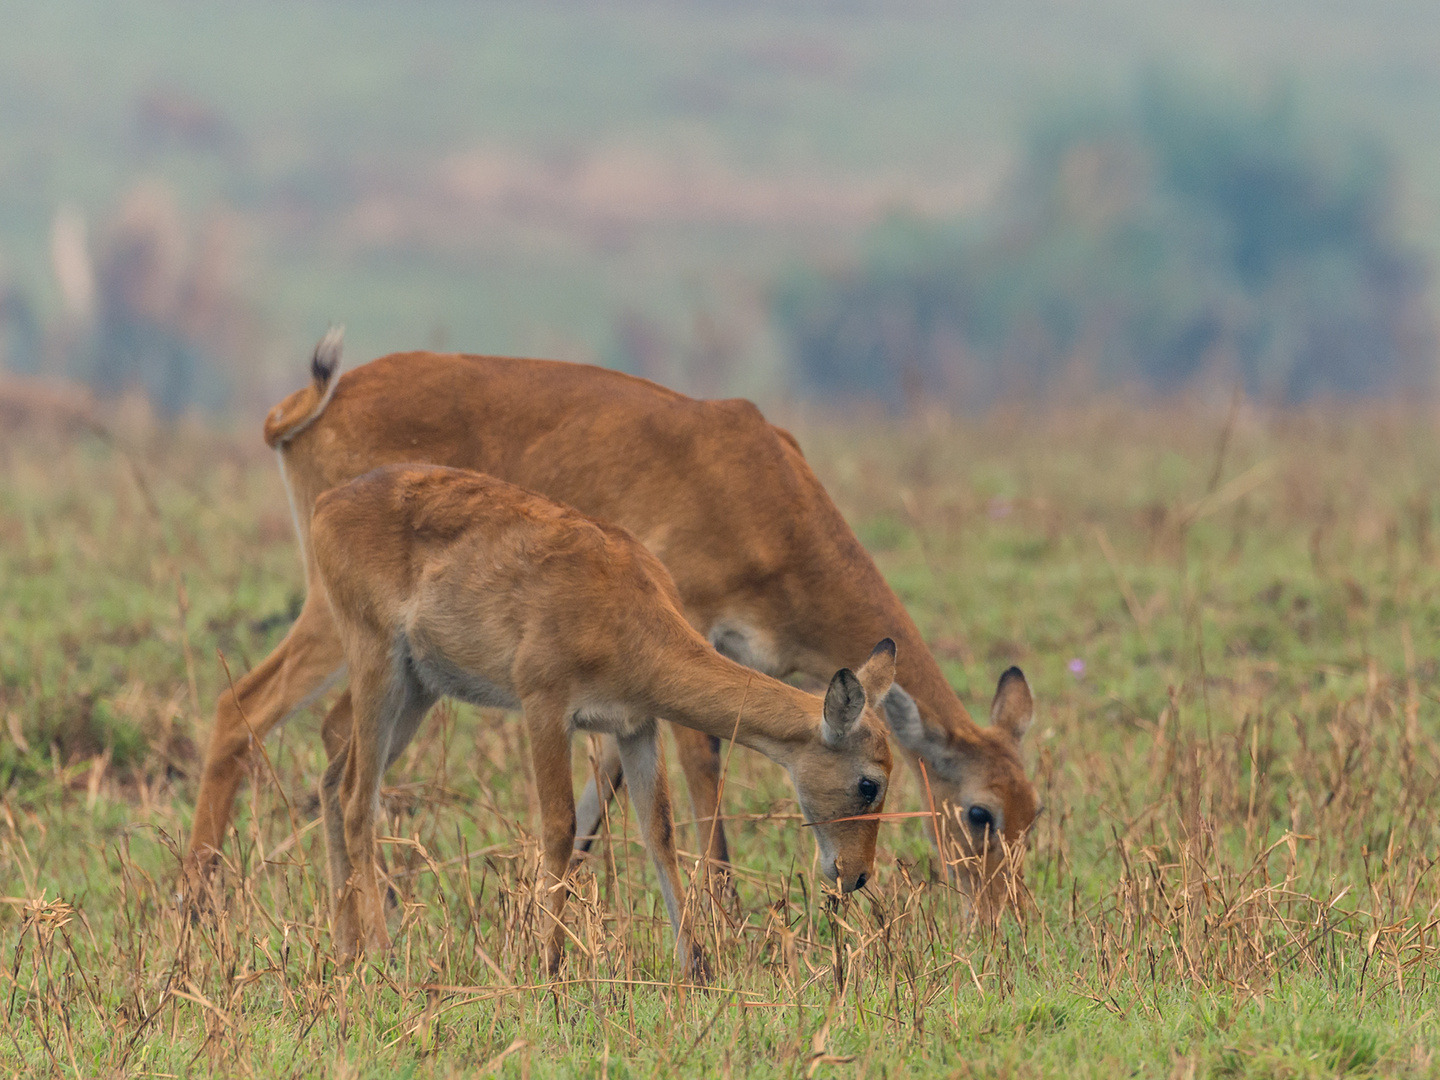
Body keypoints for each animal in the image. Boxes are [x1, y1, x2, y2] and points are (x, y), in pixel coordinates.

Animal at [313, 463, 892, 973]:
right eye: (870, 783)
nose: (858, 875)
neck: (626, 610)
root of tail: (329, 502)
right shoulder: (546, 708)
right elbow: (560, 827)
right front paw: (549, 965)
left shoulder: (637, 728)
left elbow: (660, 834)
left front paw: (697, 967)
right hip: (379, 666)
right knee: (358, 799)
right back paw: (385, 953)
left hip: (418, 688)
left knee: (332, 782)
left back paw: (345, 950)